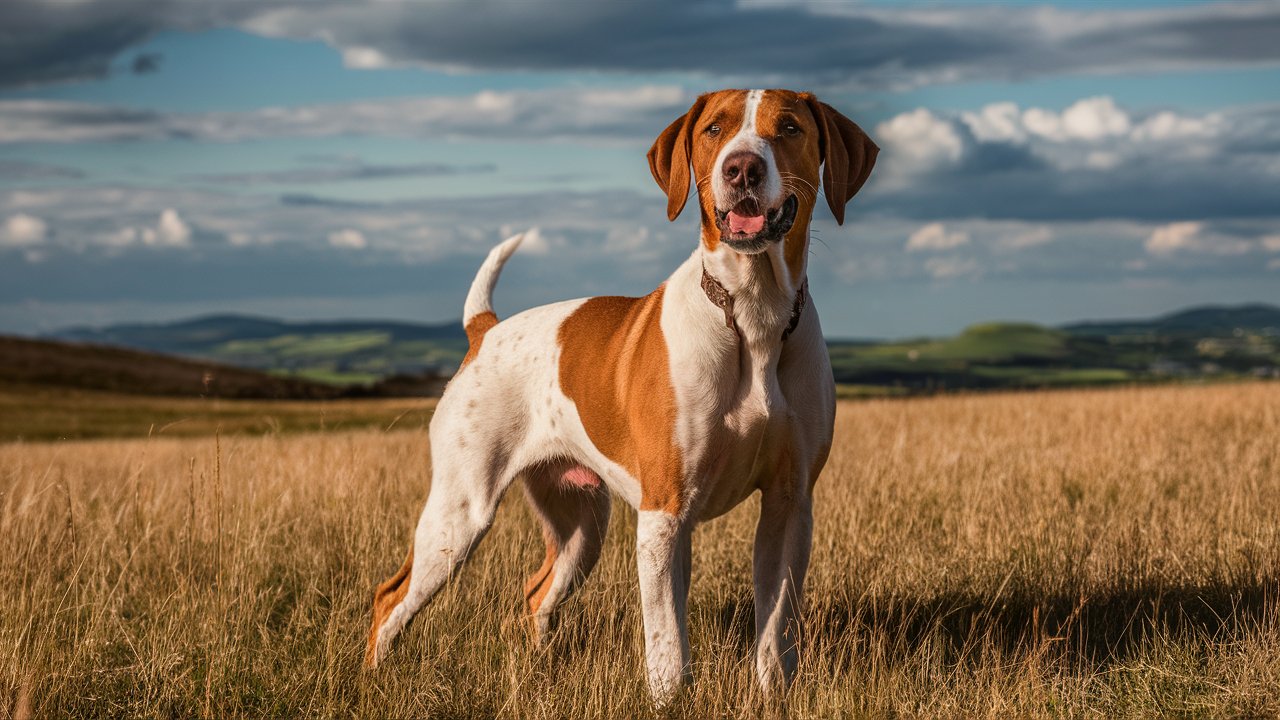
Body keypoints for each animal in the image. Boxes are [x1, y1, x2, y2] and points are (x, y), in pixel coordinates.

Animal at [366, 87, 875, 696]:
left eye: (791, 128)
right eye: (714, 129)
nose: (742, 168)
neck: (753, 315)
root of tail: (484, 331)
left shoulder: (789, 502)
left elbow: (775, 633)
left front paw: (772, 695)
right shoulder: (664, 513)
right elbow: (667, 647)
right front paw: (670, 698)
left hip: (581, 525)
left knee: (535, 595)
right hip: (460, 513)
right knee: (389, 597)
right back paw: (371, 681)